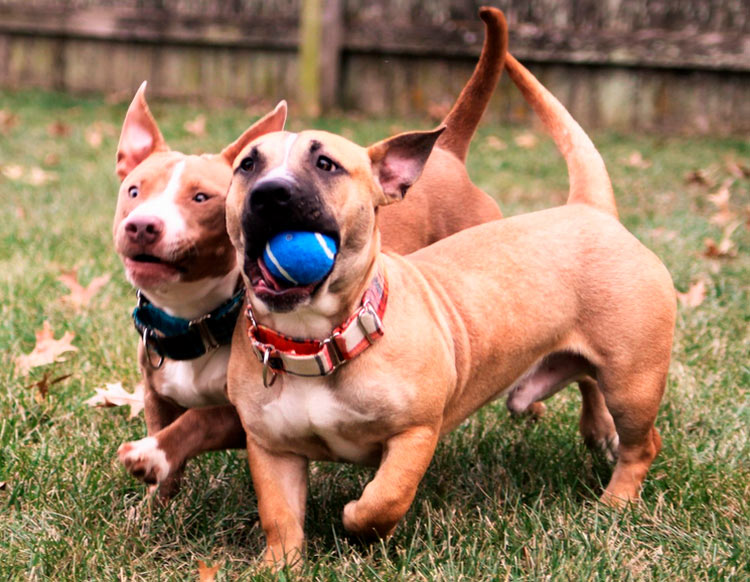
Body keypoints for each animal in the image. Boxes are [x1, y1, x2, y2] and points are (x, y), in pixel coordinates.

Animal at [113, 6, 512, 502]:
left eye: (201, 198)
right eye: (134, 190)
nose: (143, 225)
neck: (195, 317)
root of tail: (448, 153)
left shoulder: (243, 418)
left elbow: (199, 421)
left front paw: (155, 456)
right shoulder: (158, 394)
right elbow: (167, 440)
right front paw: (156, 500)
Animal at [226, 51, 680, 572]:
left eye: (326, 164)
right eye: (247, 165)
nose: (269, 192)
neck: (317, 341)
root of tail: (592, 209)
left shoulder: (415, 434)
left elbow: (385, 499)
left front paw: (357, 518)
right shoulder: (271, 450)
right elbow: (279, 516)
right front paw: (278, 565)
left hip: (633, 383)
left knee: (641, 444)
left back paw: (617, 500)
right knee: (588, 378)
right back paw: (598, 435)